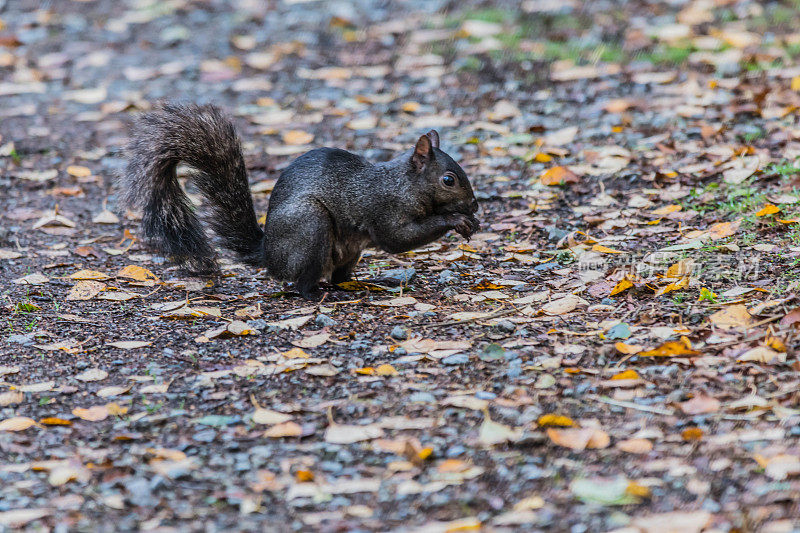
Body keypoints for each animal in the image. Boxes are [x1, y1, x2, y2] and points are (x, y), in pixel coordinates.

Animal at [122, 102, 478, 298]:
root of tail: (269, 255)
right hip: (310, 226)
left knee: (340, 278)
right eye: (449, 180)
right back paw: (322, 294)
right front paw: (456, 220)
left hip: (349, 251)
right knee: (305, 284)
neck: (403, 184)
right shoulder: (384, 208)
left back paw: (373, 281)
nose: (475, 206)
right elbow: (397, 239)